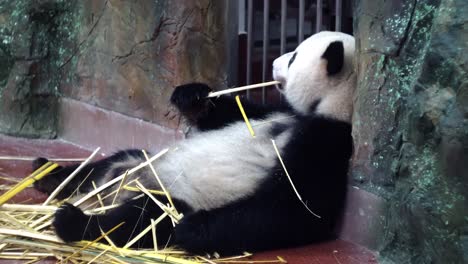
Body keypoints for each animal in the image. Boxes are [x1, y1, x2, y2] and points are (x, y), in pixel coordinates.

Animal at [32, 31, 354, 256]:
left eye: (294, 57)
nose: (274, 62)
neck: (326, 106)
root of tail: (116, 191)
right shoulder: (278, 112)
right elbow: (233, 111)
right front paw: (191, 96)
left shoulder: (327, 141)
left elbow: (291, 210)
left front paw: (191, 229)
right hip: (136, 162)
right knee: (106, 163)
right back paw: (48, 174)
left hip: (168, 196)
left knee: (144, 218)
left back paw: (74, 222)